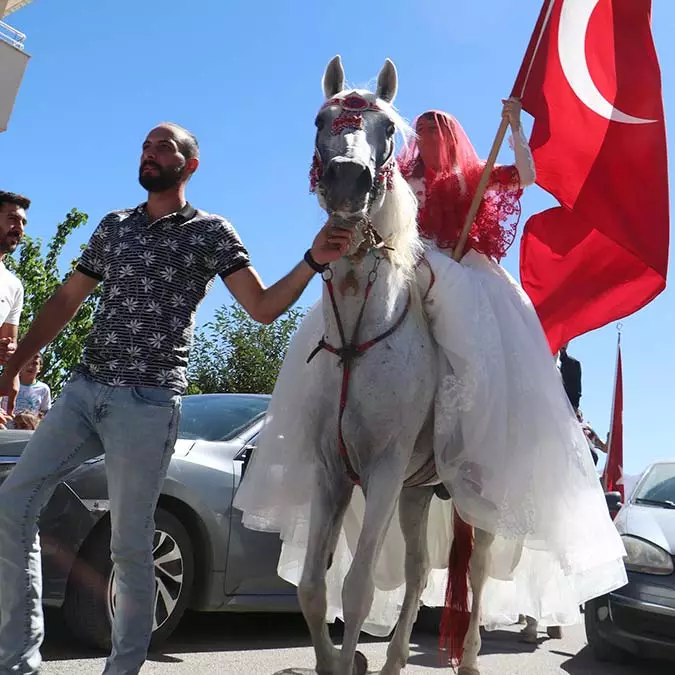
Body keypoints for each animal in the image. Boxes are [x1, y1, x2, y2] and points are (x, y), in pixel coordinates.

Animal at [298, 54, 494, 675]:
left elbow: (357, 587)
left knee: (477, 570)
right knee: (417, 570)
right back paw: (394, 658)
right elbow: (312, 588)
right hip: (416, 491)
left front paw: (345, 662)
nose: (347, 180)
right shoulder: (331, 472)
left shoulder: (382, 469)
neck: (358, 337)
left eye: (386, 127)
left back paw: (470, 657)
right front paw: (334, 661)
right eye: (321, 117)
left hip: (470, 492)